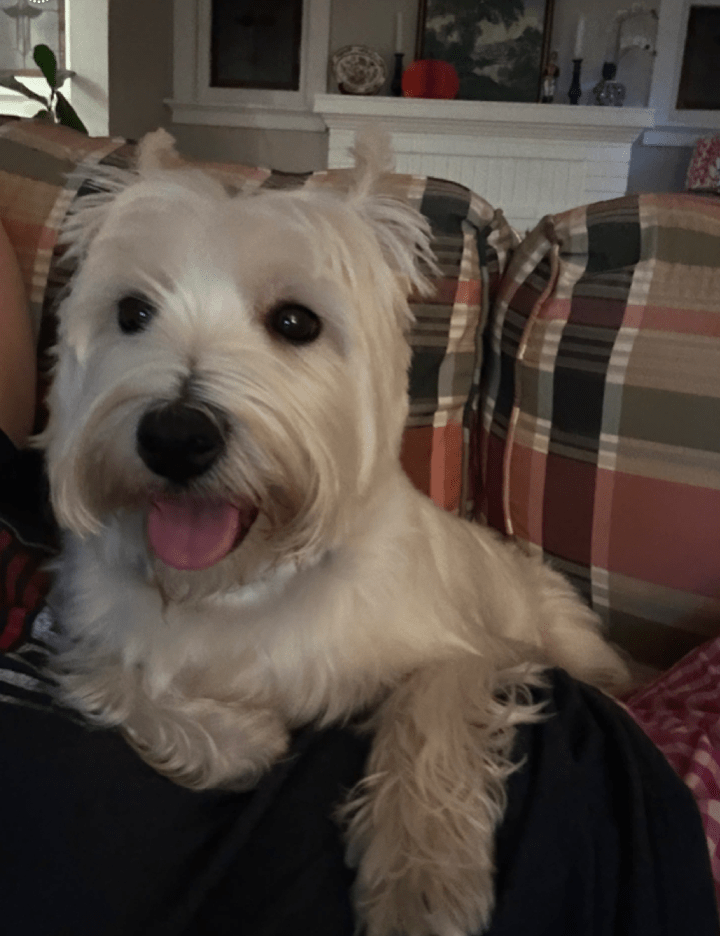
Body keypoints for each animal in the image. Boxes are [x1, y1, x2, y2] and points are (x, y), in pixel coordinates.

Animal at [40, 129, 630, 936]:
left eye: (296, 323)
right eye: (131, 313)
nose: (175, 436)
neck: (244, 585)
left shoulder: (466, 650)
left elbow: (427, 719)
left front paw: (422, 884)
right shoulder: (89, 628)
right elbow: (120, 677)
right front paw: (240, 739)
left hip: (558, 625)